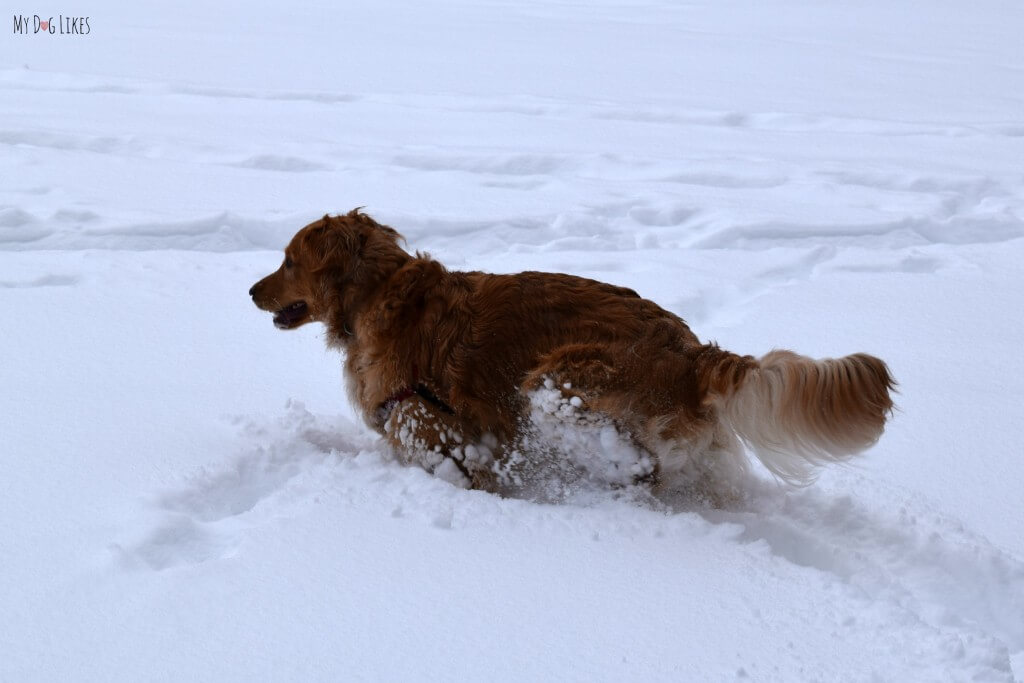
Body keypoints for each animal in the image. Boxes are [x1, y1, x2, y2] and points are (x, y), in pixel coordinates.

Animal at [249, 209, 897, 501]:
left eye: (288, 260)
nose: (252, 291)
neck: (378, 292)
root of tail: (692, 350)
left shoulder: (419, 406)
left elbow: (420, 430)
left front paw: (475, 476)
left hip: (556, 382)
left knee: (636, 461)